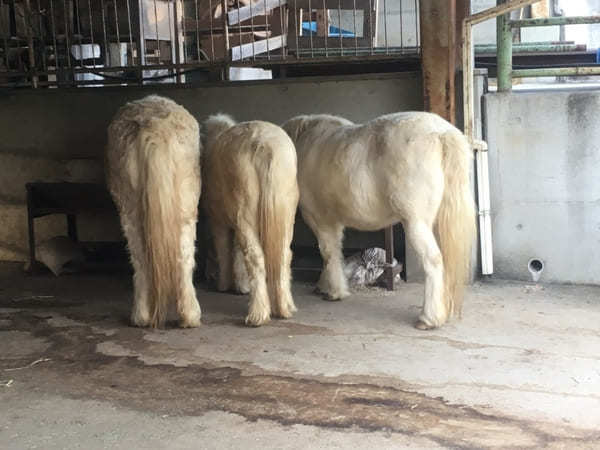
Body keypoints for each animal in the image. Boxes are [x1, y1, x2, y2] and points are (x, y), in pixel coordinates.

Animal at [106, 95, 202, 326]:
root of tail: (154, 124)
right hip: (187, 205)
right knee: (183, 255)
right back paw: (189, 315)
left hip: (130, 209)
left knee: (140, 256)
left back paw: (142, 315)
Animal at [203, 115, 298, 326]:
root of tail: (264, 144)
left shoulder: (217, 221)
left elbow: (225, 249)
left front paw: (226, 284)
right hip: (286, 212)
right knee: (284, 255)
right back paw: (285, 307)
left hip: (244, 210)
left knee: (254, 256)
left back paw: (258, 314)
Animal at [284, 111, 476, 330]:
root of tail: (442, 133)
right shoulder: (334, 221)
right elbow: (335, 251)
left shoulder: (320, 218)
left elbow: (328, 253)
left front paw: (333, 291)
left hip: (416, 222)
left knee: (433, 260)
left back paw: (428, 318)